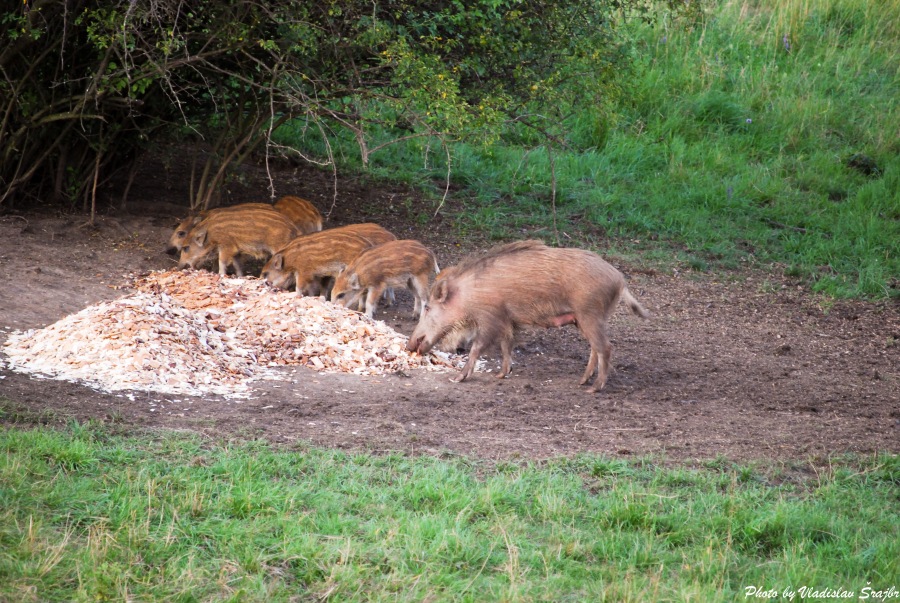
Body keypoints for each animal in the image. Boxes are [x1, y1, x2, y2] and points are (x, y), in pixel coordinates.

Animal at [261, 226, 394, 296]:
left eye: (266, 273)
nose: (268, 286)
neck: (291, 258)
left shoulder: (305, 272)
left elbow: (300, 286)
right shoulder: (322, 274)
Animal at [406, 240, 649, 392]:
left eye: (428, 308)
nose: (409, 345)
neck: (469, 295)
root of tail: (620, 279)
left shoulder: (491, 318)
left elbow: (477, 347)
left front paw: (457, 378)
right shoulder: (507, 321)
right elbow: (506, 345)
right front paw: (501, 375)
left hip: (590, 313)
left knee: (605, 347)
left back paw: (593, 389)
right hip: (585, 318)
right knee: (594, 348)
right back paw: (581, 382)